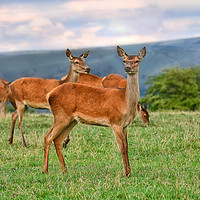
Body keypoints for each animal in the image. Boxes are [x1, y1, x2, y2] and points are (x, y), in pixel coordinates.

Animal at [42, 45, 146, 177]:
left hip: (71, 120)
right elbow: (121, 147)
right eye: (124, 60)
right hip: (61, 115)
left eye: (137, 60)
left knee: (58, 140)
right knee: (48, 137)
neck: (125, 101)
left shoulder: (125, 125)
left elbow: (127, 147)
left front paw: (129, 171)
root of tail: (49, 95)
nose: (127, 68)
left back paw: (64, 170)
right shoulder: (115, 122)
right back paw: (45, 170)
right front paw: (125, 173)